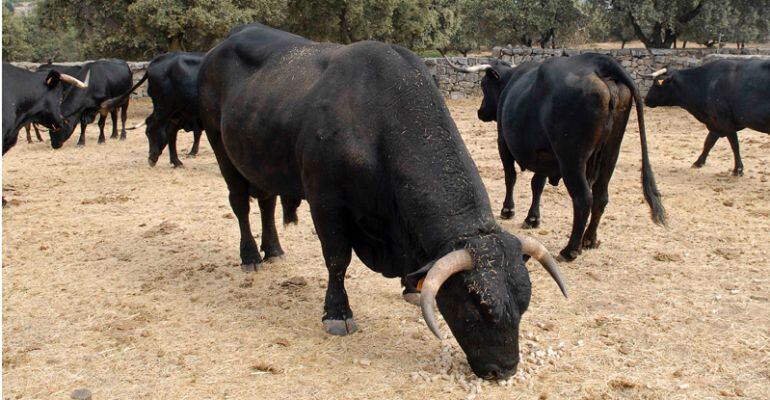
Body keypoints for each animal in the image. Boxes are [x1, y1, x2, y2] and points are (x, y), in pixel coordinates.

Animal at [196, 23, 568, 380]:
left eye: (524, 303)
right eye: (476, 306)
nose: (504, 369)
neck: (376, 119)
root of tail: (222, 44)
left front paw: (411, 286)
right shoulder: (325, 201)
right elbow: (337, 259)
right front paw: (337, 313)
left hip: (260, 161)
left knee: (267, 201)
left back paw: (273, 249)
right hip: (221, 147)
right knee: (240, 203)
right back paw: (250, 257)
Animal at [444, 54, 664, 262]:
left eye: (484, 85)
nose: (480, 111)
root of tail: (597, 61)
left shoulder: (503, 143)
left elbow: (510, 177)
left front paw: (507, 210)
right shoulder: (544, 156)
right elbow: (537, 184)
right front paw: (533, 218)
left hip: (571, 159)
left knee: (583, 198)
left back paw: (570, 250)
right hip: (610, 154)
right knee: (601, 196)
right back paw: (589, 240)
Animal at [640, 59, 768, 177]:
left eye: (656, 84)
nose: (646, 100)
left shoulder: (724, 120)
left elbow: (734, 145)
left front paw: (738, 169)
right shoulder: (715, 123)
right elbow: (709, 142)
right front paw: (698, 162)